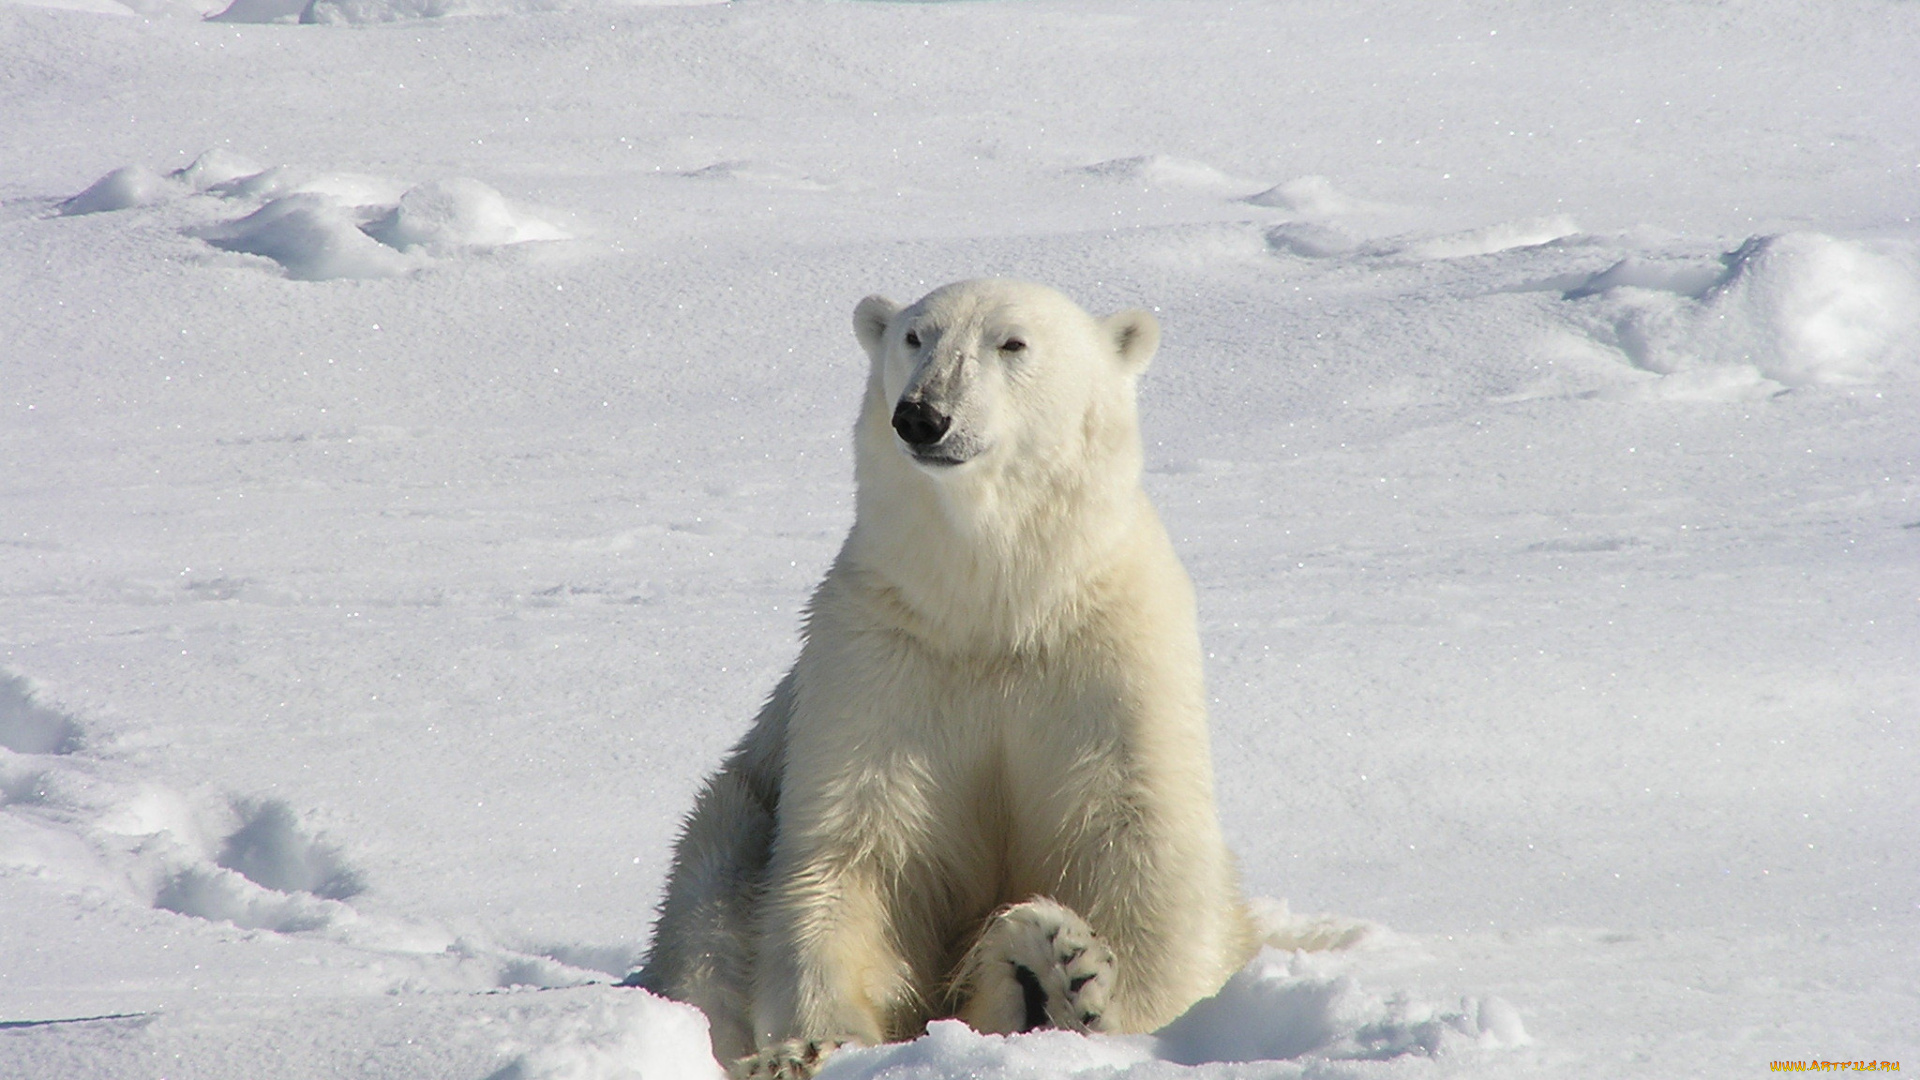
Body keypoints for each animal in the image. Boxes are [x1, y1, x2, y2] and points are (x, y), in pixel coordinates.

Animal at [625, 278, 1259, 1076]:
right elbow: (857, 855)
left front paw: (1116, 1008)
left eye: (1012, 343)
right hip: (733, 813)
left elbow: (1138, 840)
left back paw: (1052, 968)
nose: (923, 416)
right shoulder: (880, 660)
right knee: (709, 899)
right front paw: (818, 1041)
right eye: (914, 336)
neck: (995, 609)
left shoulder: (1109, 657)